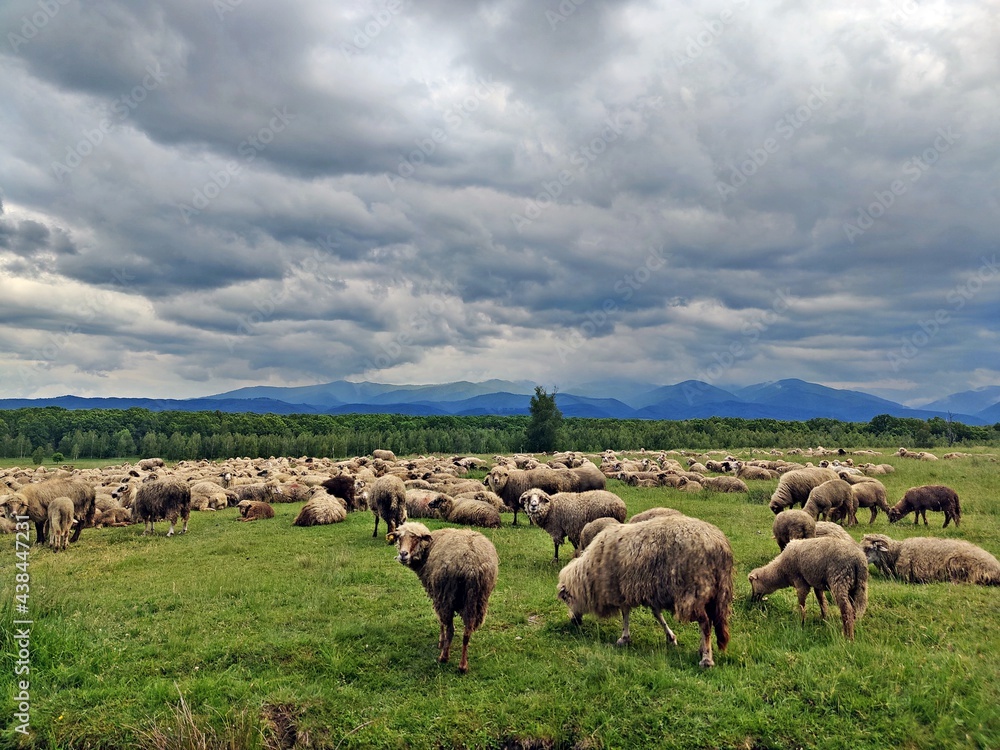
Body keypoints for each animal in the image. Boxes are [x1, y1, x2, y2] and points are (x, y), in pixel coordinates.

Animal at [388, 522, 499, 673]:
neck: (427, 551)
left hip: (447, 596)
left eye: (416, 538)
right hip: (476, 600)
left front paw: (441, 641)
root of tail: (471, 565)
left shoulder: (437, 594)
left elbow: (441, 622)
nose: (403, 554)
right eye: (399, 537)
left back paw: (444, 656)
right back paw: (463, 665)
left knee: (451, 629)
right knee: (467, 633)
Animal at [557, 515, 734, 668]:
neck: (591, 572)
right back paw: (702, 649)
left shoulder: (620, 589)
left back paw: (706, 659)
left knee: (705, 623)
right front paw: (671, 637)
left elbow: (625, 613)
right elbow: (657, 615)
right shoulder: (650, 592)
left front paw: (624, 638)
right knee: (709, 621)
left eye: (567, 600)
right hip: (711, 594)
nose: (573, 621)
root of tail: (720, 545)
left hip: (694, 591)